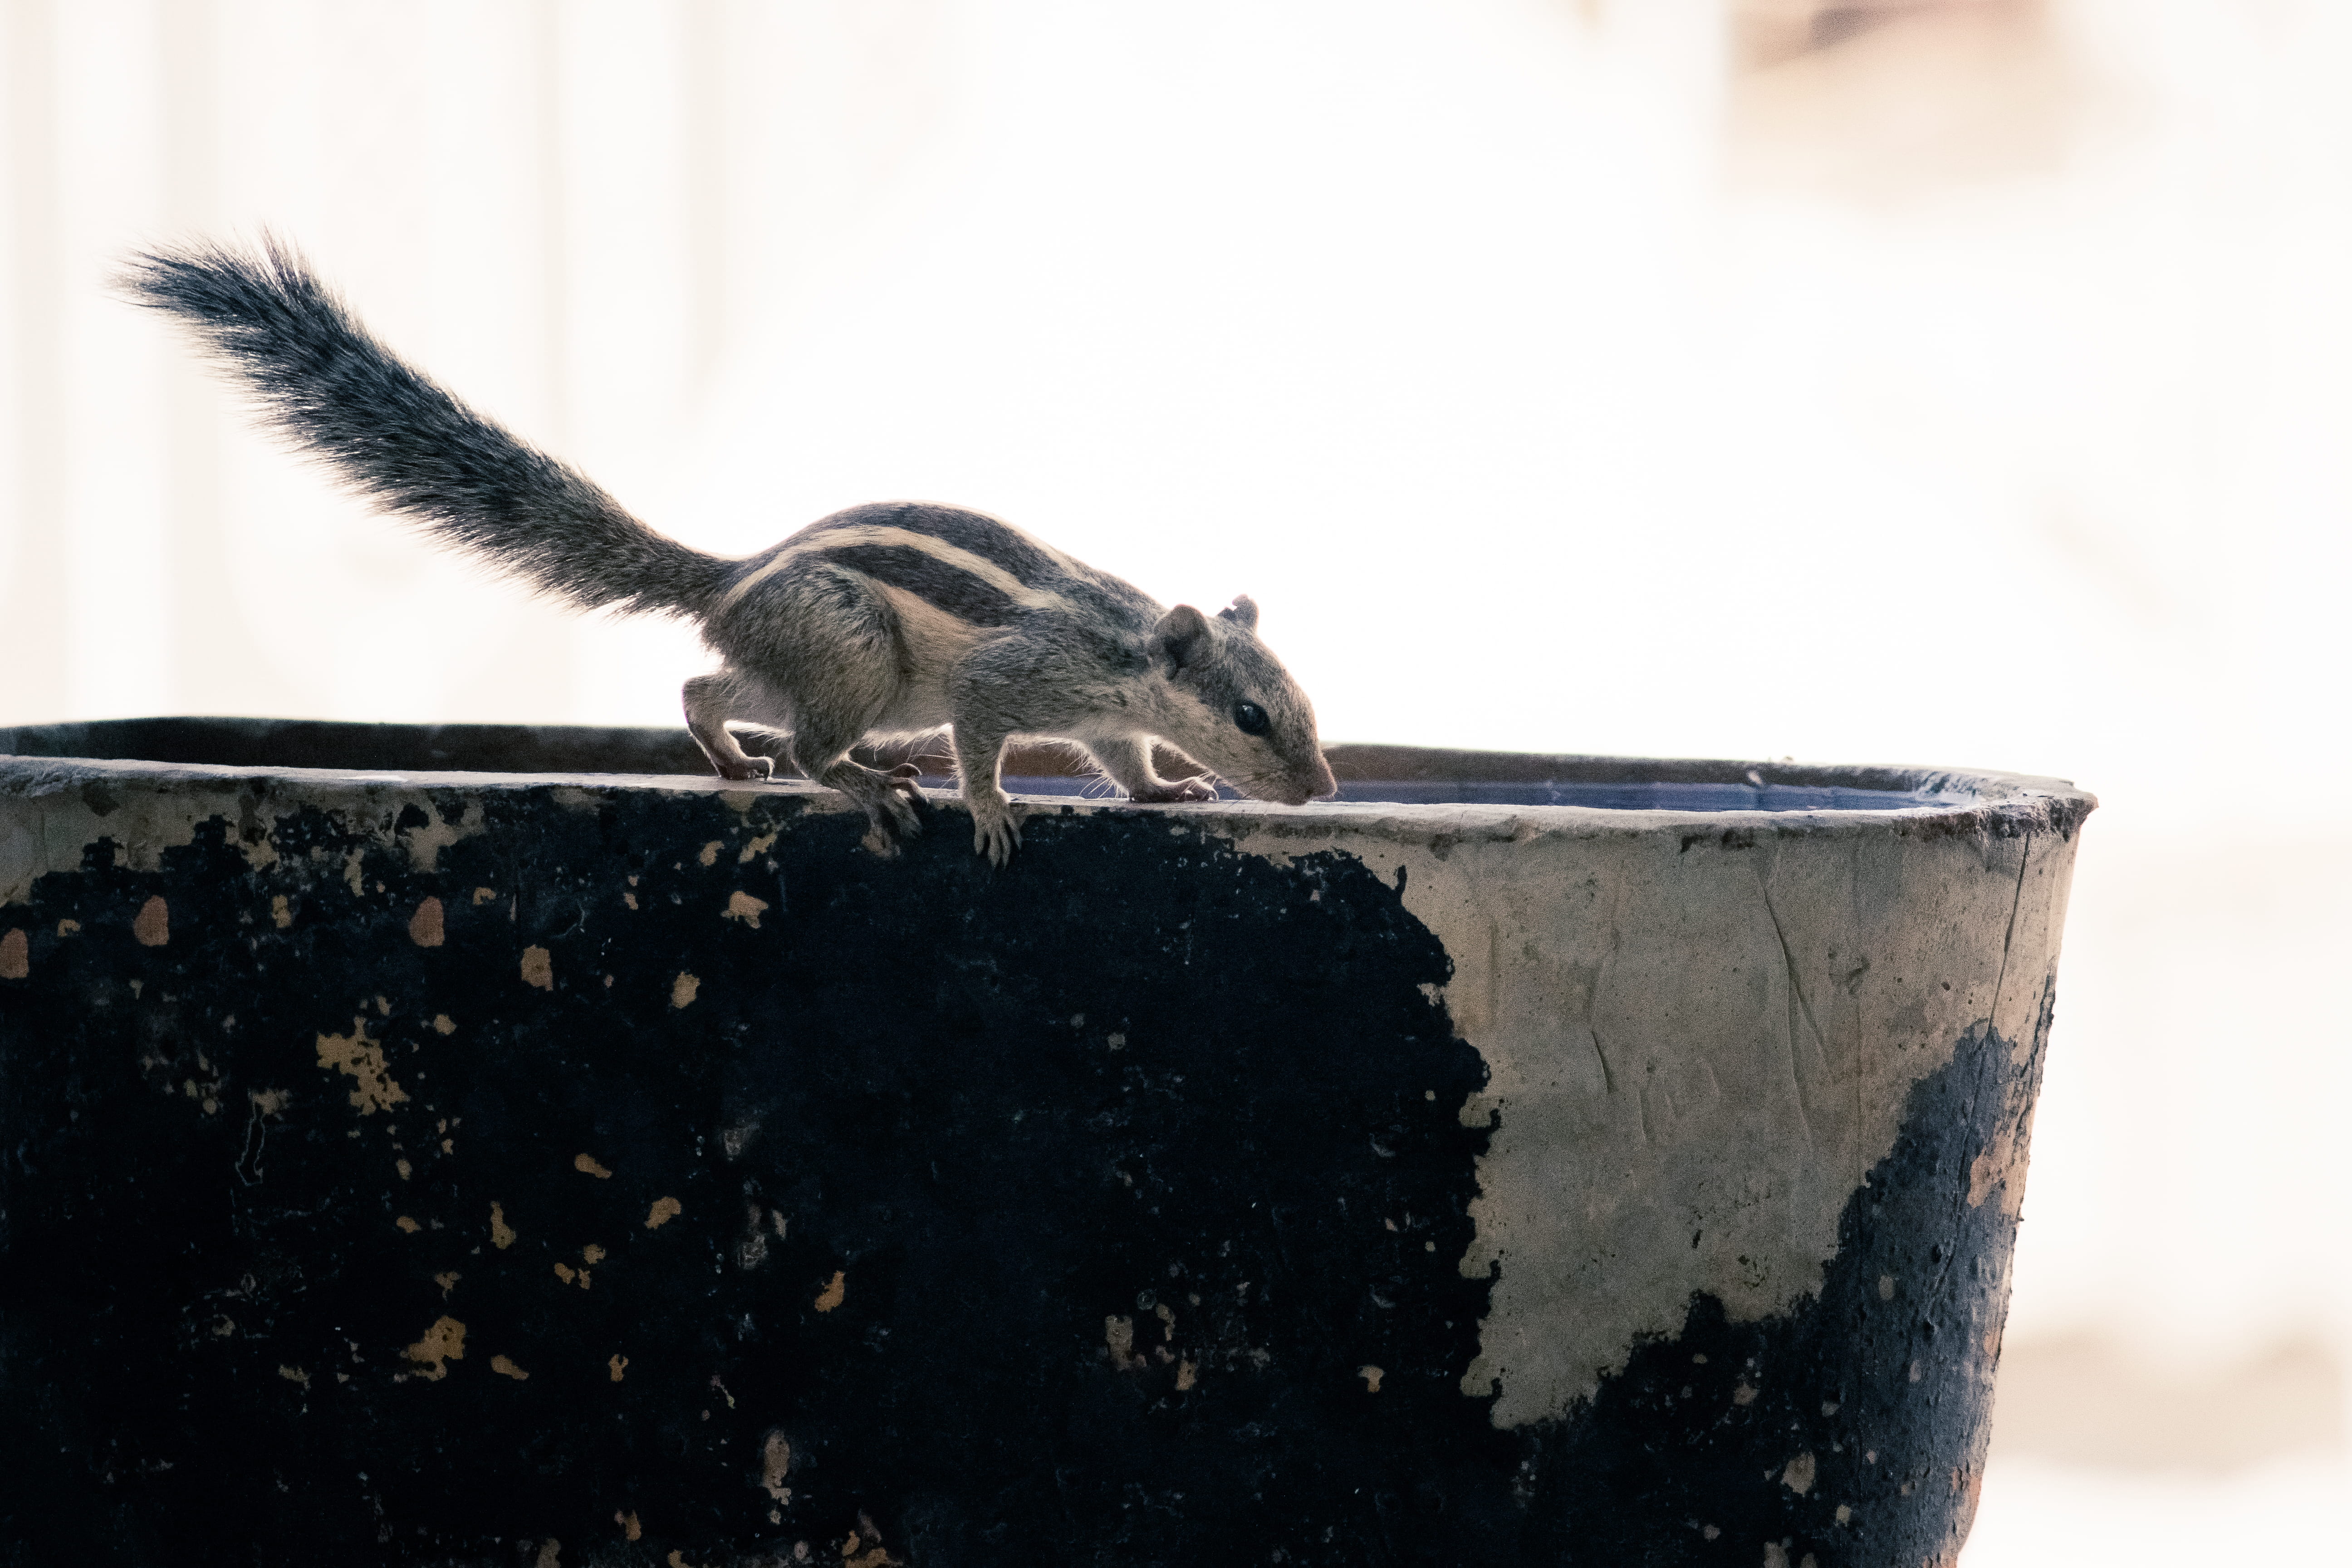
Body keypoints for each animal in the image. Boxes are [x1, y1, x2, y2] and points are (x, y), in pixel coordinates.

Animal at [121, 239, 1337, 863]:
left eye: (1302, 706)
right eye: (1251, 715)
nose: (1321, 788)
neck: (1120, 651)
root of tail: (733, 575)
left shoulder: (1106, 715)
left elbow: (1127, 762)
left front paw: (1171, 788)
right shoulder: (1007, 680)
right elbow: (984, 737)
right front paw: (993, 811)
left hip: (831, 670)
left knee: (707, 687)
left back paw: (735, 759)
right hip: (859, 654)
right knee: (807, 743)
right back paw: (862, 785)